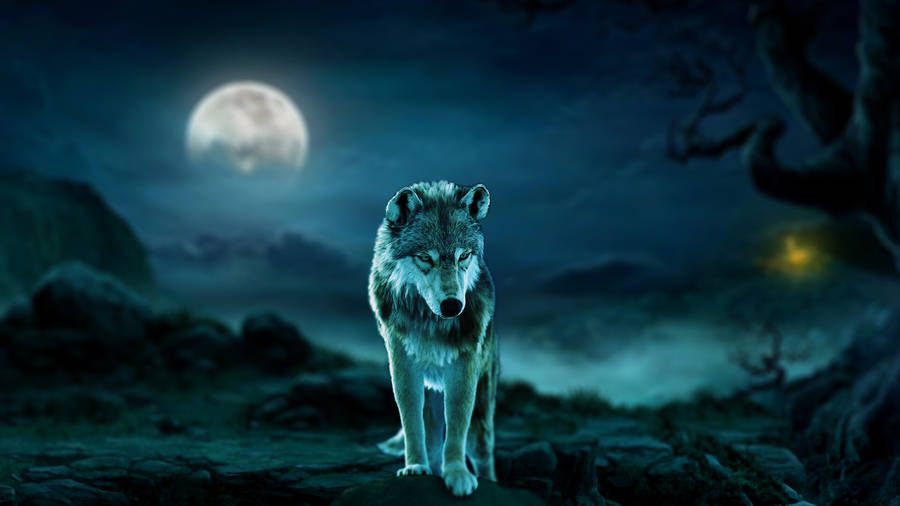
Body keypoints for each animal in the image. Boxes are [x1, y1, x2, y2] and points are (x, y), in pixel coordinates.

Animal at [368, 181, 498, 497]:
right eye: (425, 257)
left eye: (463, 256)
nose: (452, 306)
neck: (431, 323)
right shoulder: (402, 363)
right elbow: (412, 422)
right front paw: (415, 467)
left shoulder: (464, 367)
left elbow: (457, 426)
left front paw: (458, 474)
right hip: (431, 397)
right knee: (432, 437)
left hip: (482, 411)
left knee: (482, 451)